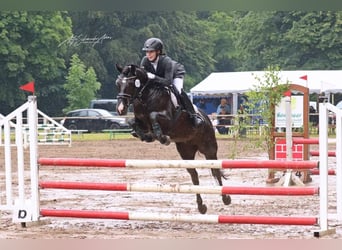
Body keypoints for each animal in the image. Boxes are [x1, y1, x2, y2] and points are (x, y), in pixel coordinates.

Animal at [115, 63, 232, 214]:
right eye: (118, 84)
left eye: (130, 84)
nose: (120, 109)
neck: (146, 96)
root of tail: (206, 117)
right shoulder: (141, 121)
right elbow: (132, 122)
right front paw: (146, 136)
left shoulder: (169, 120)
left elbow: (153, 116)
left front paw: (163, 137)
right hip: (186, 152)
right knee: (194, 176)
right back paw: (201, 206)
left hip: (209, 148)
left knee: (215, 170)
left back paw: (226, 198)